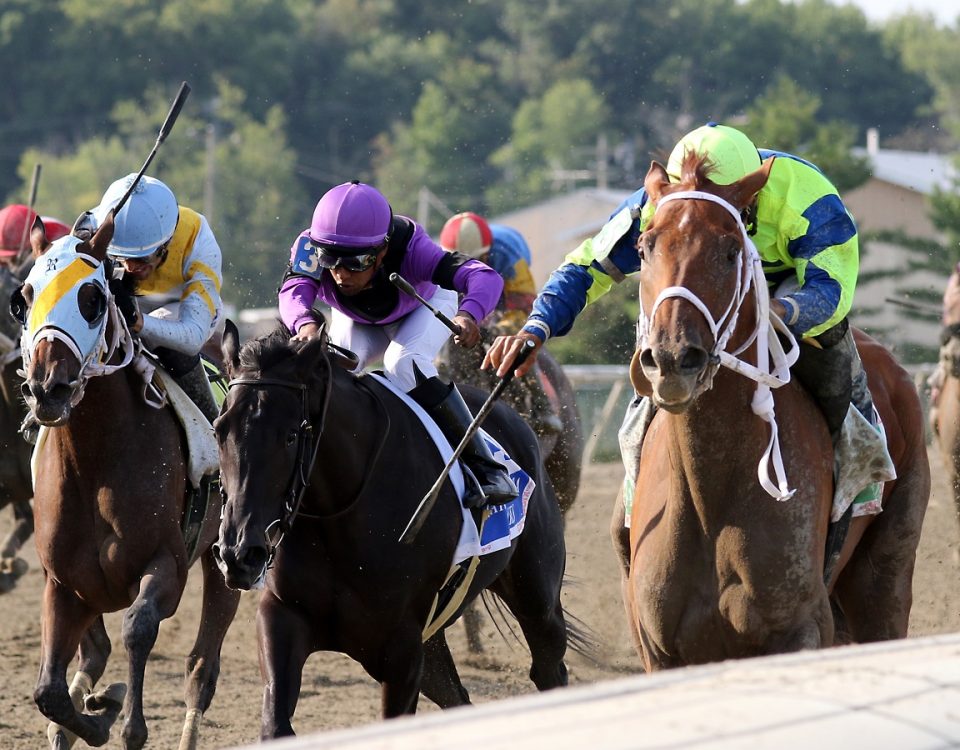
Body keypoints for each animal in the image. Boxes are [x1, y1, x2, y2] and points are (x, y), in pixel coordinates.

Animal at [18, 214, 238, 748]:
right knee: (93, 652)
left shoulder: (167, 566)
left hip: (227, 560)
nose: (47, 387)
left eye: (93, 296)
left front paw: (123, 717)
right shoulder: (62, 583)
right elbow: (48, 691)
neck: (94, 459)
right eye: (27, 293)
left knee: (202, 669)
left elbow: (138, 627)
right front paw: (95, 712)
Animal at [214, 322, 572, 740]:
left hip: (537, 601)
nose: (239, 555)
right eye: (219, 431)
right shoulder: (283, 615)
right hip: (432, 641)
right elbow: (276, 724)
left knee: (548, 669)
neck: (341, 512)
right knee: (457, 698)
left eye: (290, 435)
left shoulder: (401, 646)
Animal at [624, 151, 928, 668]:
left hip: (884, 577)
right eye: (645, 247)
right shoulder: (658, 648)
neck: (711, 495)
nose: (671, 359)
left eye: (730, 251)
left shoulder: (799, 629)